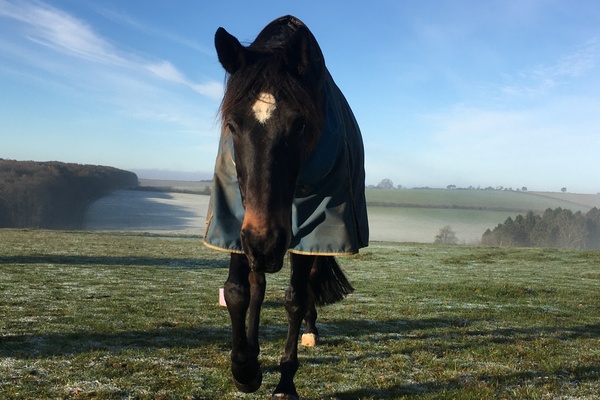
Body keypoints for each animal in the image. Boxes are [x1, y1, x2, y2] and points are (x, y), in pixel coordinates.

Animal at [204, 15, 368, 400]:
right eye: (232, 124)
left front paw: (285, 383)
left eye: (300, 123)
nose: (264, 244)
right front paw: (245, 369)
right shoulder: (235, 216)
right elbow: (237, 292)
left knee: (305, 287)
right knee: (259, 285)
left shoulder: (312, 223)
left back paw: (309, 330)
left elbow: (295, 297)